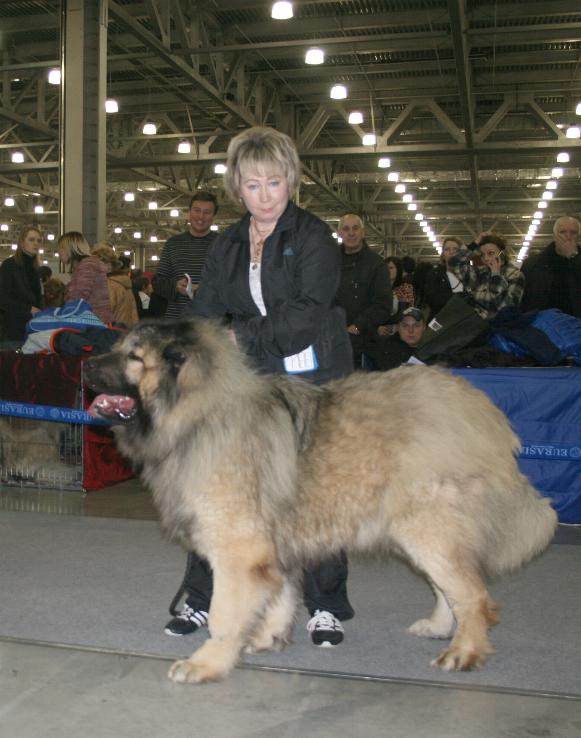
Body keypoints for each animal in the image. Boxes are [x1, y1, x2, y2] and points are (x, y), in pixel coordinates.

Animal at [84, 320, 556, 680]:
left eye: (134, 357)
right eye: (118, 347)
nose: (86, 362)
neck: (200, 414)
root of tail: (484, 413)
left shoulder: (238, 551)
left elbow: (225, 614)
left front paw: (207, 663)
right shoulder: (273, 548)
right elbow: (278, 597)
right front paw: (267, 639)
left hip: (427, 527)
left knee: (472, 595)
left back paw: (464, 651)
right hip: (417, 531)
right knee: (448, 587)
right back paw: (440, 627)